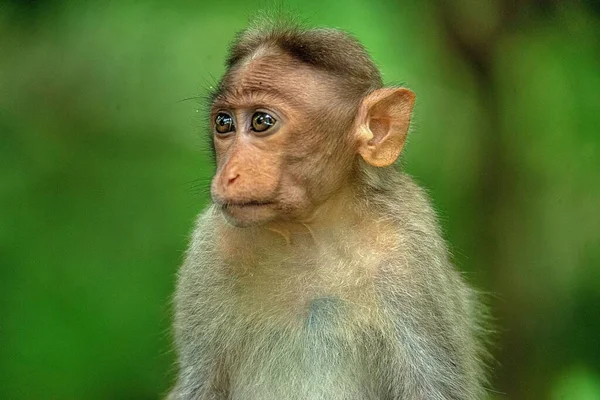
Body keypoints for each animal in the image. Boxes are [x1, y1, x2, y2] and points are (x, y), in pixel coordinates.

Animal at [168, 18, 488, 400]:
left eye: (261, 122)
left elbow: (434, 387)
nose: (227, 174)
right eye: (224, 123)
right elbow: (199, 385)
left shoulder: (409, 252)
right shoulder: (212, 246)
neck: (309, 232)